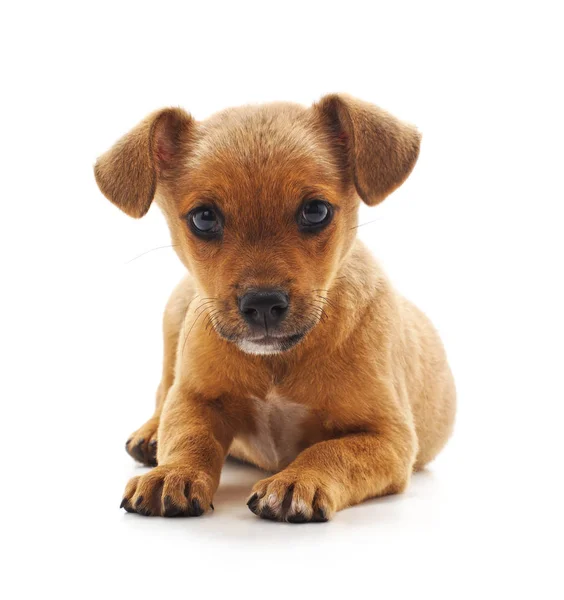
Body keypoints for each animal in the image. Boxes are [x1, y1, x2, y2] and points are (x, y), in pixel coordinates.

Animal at [93, 95, 454, 520]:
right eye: (204, 218)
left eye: (315, 211)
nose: (263, 303)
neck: (276, 363)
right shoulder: (194, 398)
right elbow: (188, 435)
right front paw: (174, 472)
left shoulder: (387, 437)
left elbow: (332, 451)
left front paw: (299, 480)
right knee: (163, 390)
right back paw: (150, 433)